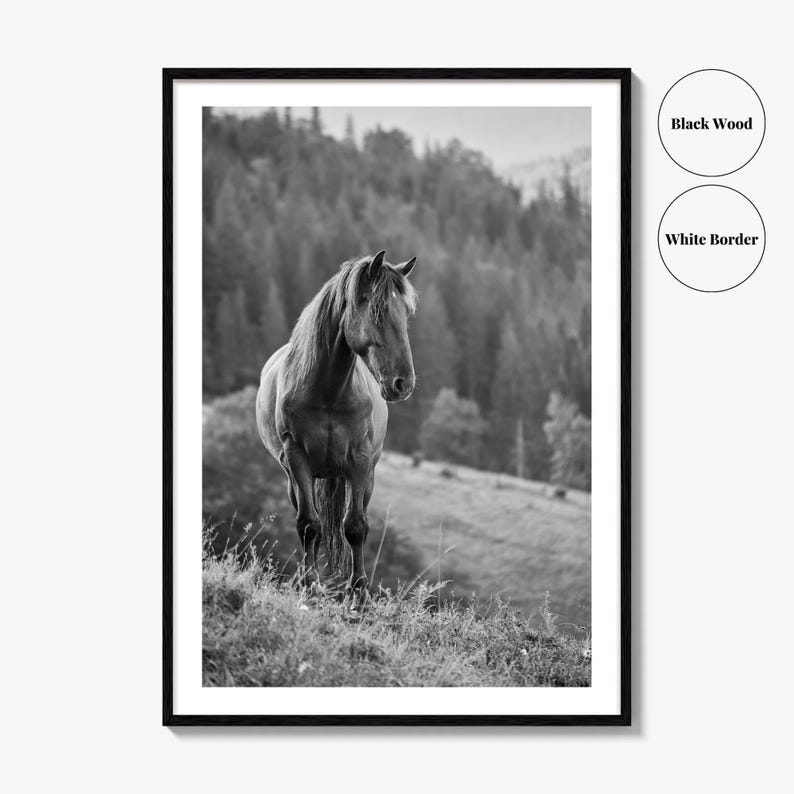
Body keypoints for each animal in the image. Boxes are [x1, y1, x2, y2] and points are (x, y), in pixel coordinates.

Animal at [255, 251, 418, 597]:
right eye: (378, 310)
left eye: (407, 313)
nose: (403, 384)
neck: (328, 391)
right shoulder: (297, 459)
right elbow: (309, 524)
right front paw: (310, 583)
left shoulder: (360, 460)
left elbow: (355, 527)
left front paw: (359, 592)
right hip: (297, 477)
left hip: (364, 476)